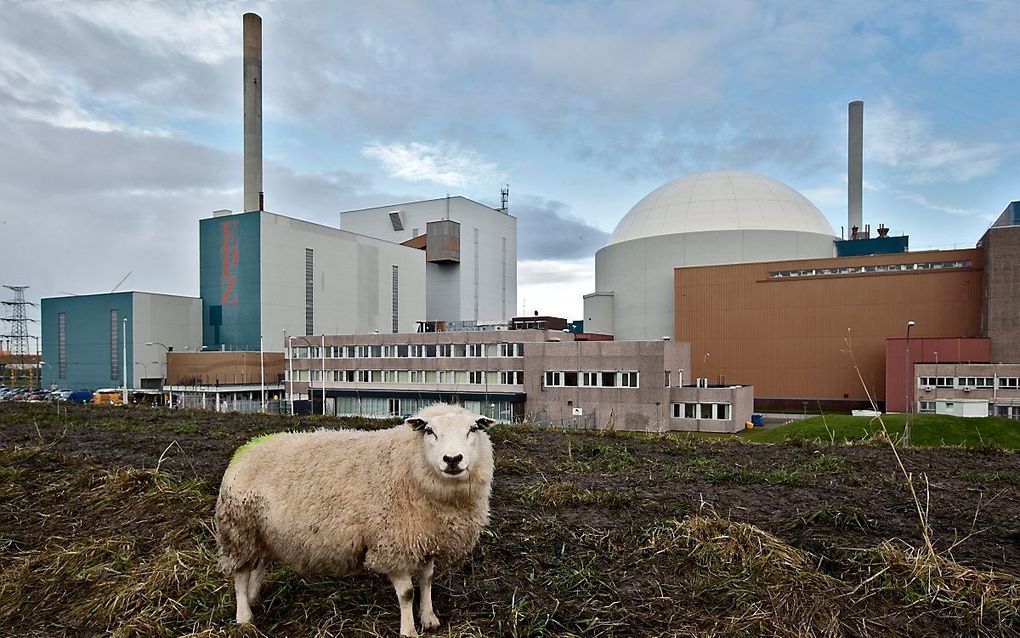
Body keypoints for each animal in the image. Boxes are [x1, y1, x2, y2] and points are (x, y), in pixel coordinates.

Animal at [217, 402, 495, 636]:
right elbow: (406, 593)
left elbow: (426, 580)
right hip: (238, 529)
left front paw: (429, 619)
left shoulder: (424, 539)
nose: (452, 459)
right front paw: (409, 630)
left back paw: (254, 598)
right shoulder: (392, 544)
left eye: (472, 429)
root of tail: (245, 451)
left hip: (261, 532)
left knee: (259, 563)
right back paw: (244, 617)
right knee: (240, 574)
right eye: (429, 431)